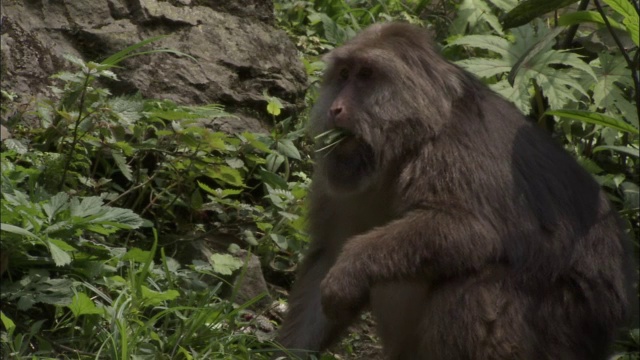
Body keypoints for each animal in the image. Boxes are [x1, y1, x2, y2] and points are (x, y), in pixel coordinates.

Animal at [276, 23, 636, 360]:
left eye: (366, 76)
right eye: (344, 75)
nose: (335, 109)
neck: (407, 144)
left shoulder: (451, 153)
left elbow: (470, 229)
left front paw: (348, 271)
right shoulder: (338, 179)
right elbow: (327, 253)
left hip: (562, 329)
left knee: (475, 287)